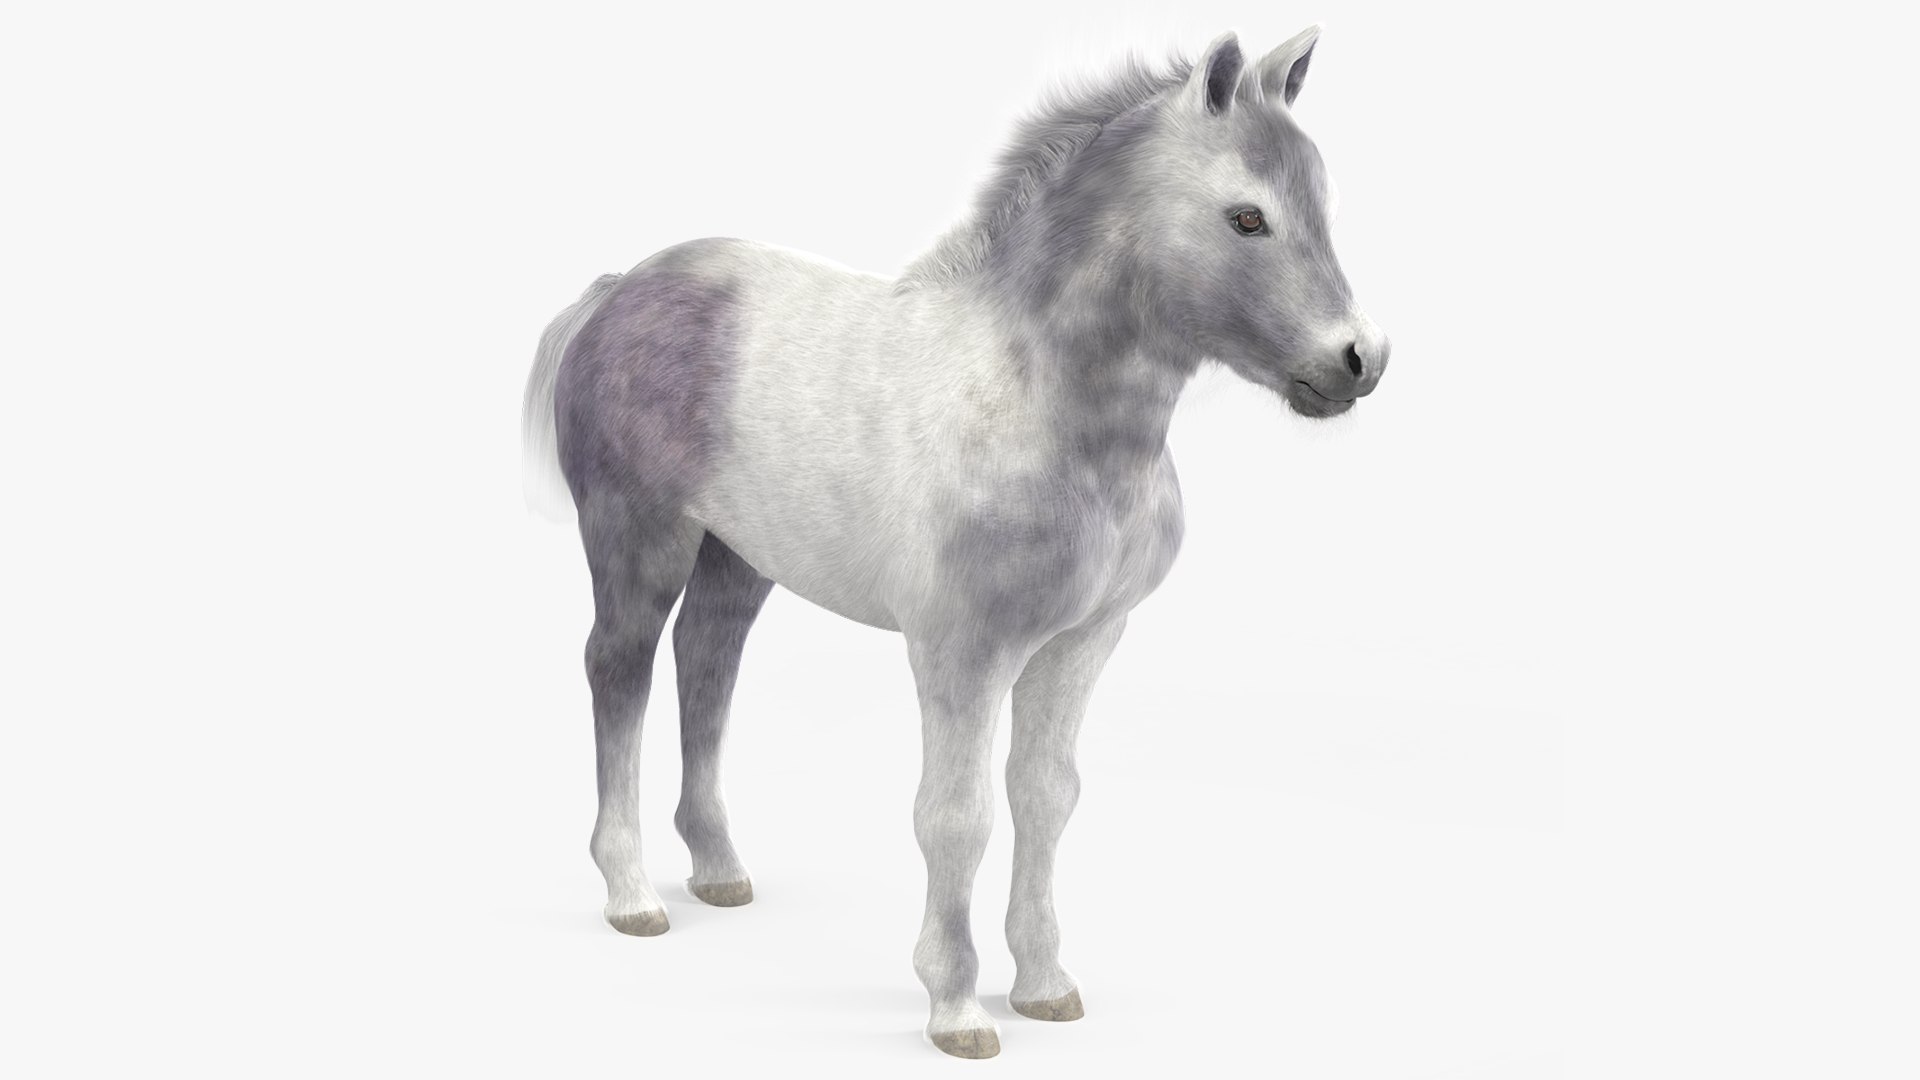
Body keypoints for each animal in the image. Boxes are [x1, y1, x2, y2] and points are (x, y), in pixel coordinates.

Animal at [521, 26, 1389, 1059]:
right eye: (1247, 217)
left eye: (1321, 204)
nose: (1359, 361)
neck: (1043, 407)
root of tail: (619, 290)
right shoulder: (961, 651)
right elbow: (956, 817)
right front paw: (958, 1009)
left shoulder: (1082, 642)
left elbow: (1046, 797)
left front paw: (1047, 986)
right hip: (639, 538)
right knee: (620, 669)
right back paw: (631, 896)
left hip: (738, 557)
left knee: (707, 663)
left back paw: (721, 871)